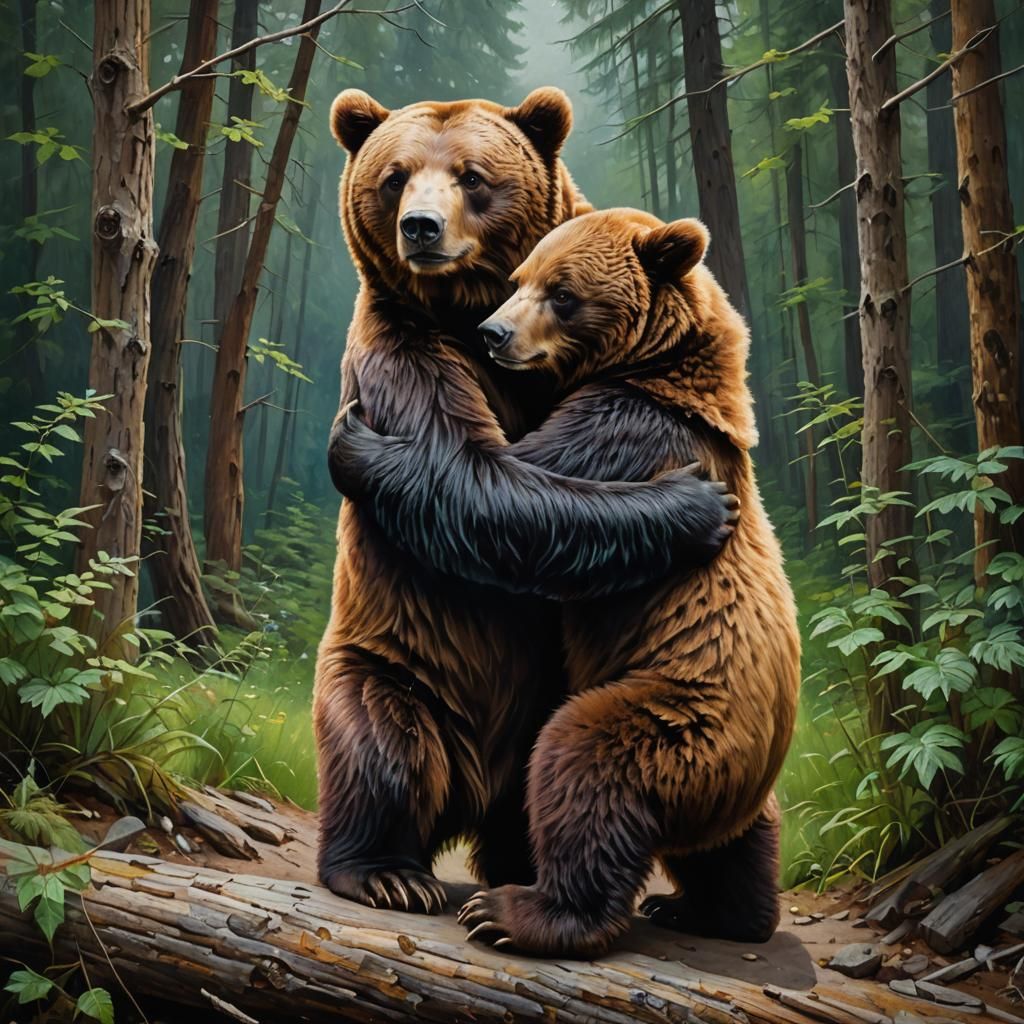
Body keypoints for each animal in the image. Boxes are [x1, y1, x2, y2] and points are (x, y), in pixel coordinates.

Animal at [326, 208, 801, 955]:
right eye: (520, 279)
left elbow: (511, 487)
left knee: (583, 768)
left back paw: (518, 909)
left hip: (682, 717)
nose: (493, 334)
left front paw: (363, 445)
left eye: (563, 293)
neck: (664, 374)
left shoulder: (624, 428)